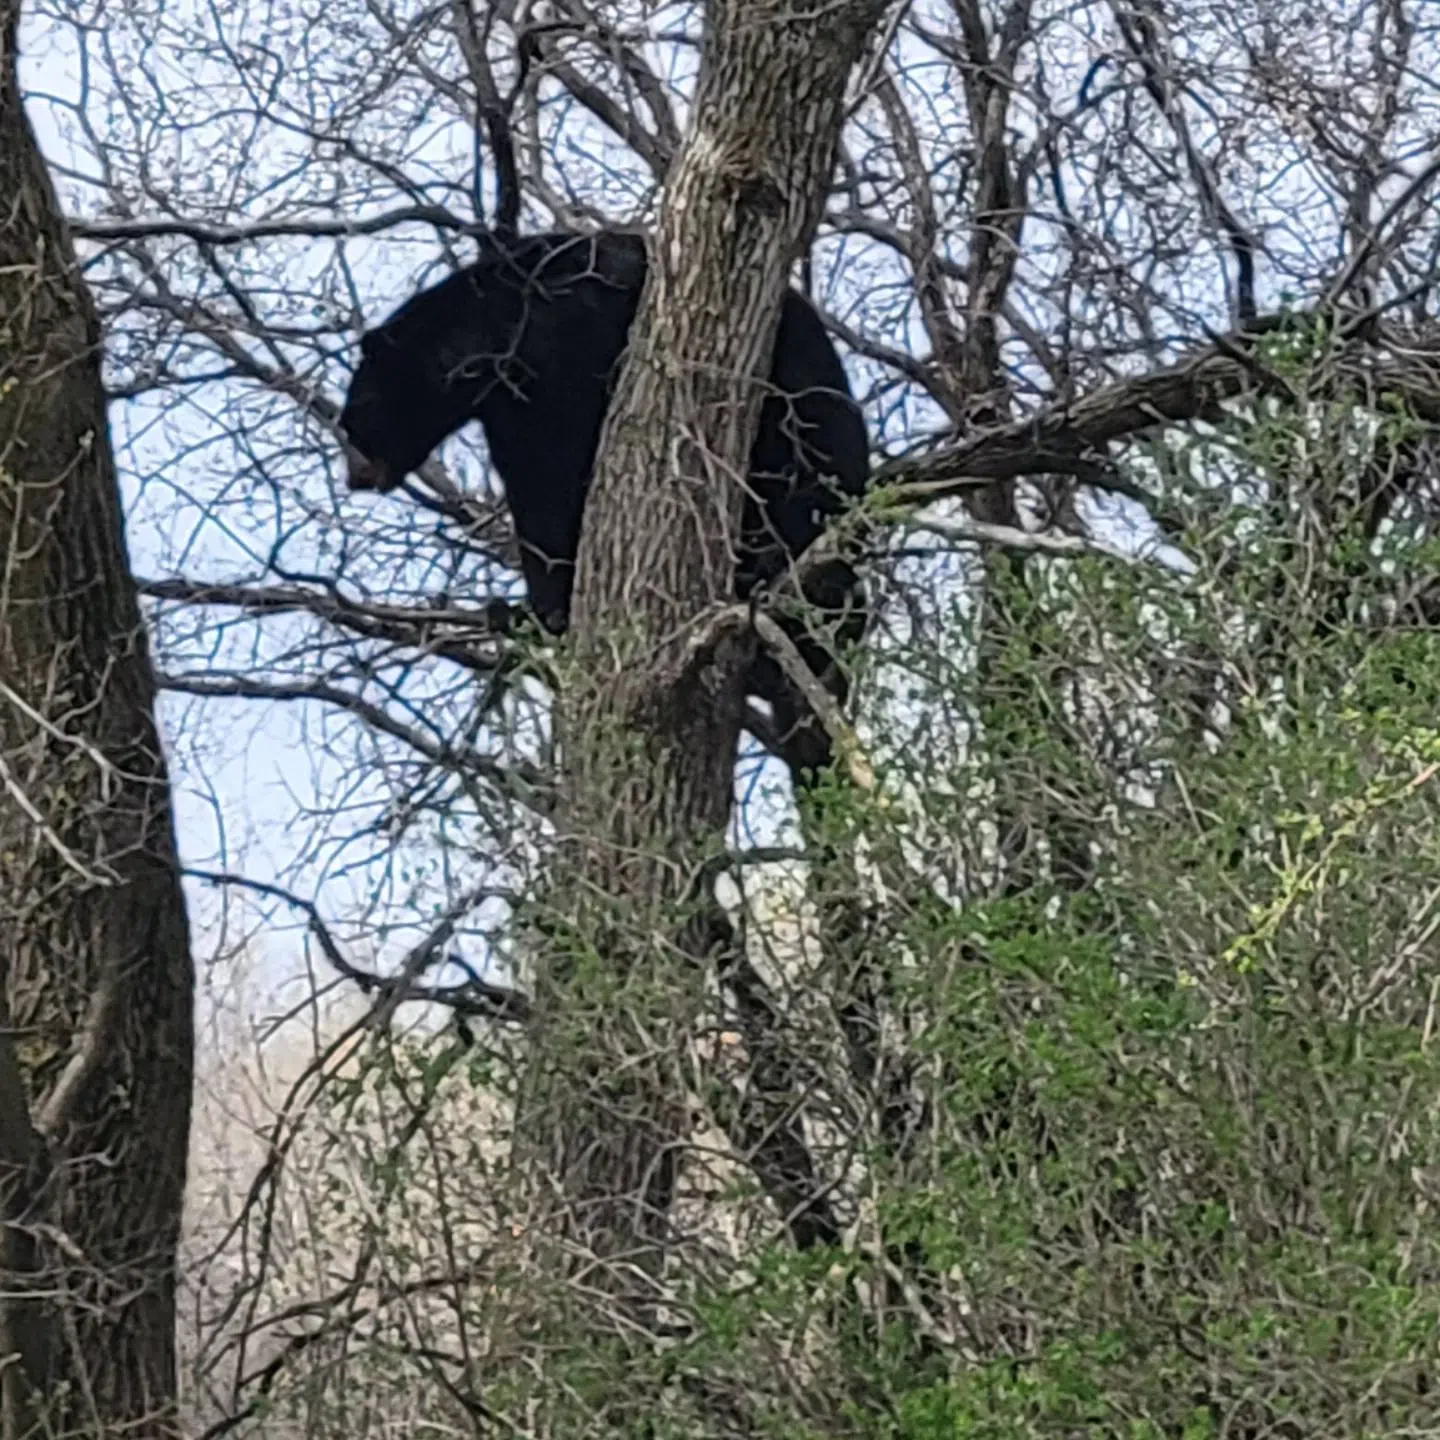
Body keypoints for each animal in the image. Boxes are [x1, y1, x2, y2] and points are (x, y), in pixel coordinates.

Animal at [338, 229, 870, 787]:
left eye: (353, 417)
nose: (353, 476)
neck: (500, 339)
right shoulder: (515, 416)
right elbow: (538, 501)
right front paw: (526, 609)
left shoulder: (574, 358)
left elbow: (569, 475)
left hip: (801, 451)